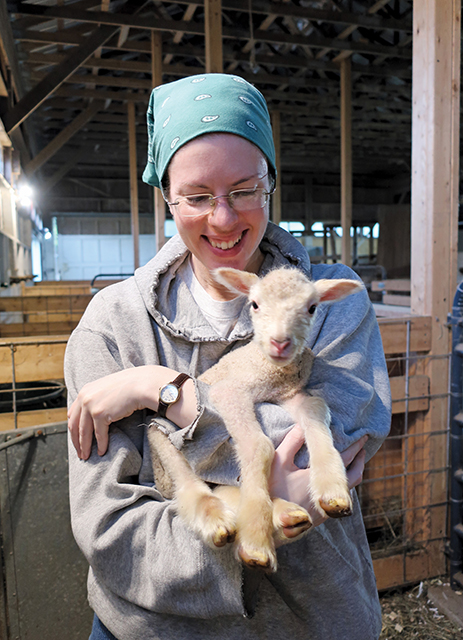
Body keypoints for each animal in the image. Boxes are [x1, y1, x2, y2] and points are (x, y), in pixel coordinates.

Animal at [147, 268, 364, 572]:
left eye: (312, 307)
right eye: (255, 304)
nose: (280, 342)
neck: (270, 369)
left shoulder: (288, 395)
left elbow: (315, 406)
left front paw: (332, 491)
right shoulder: (229, 391)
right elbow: (259, 446)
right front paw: (255, 542)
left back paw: (286, 514)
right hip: (161, 442)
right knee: (191, 487)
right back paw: (223, 521)